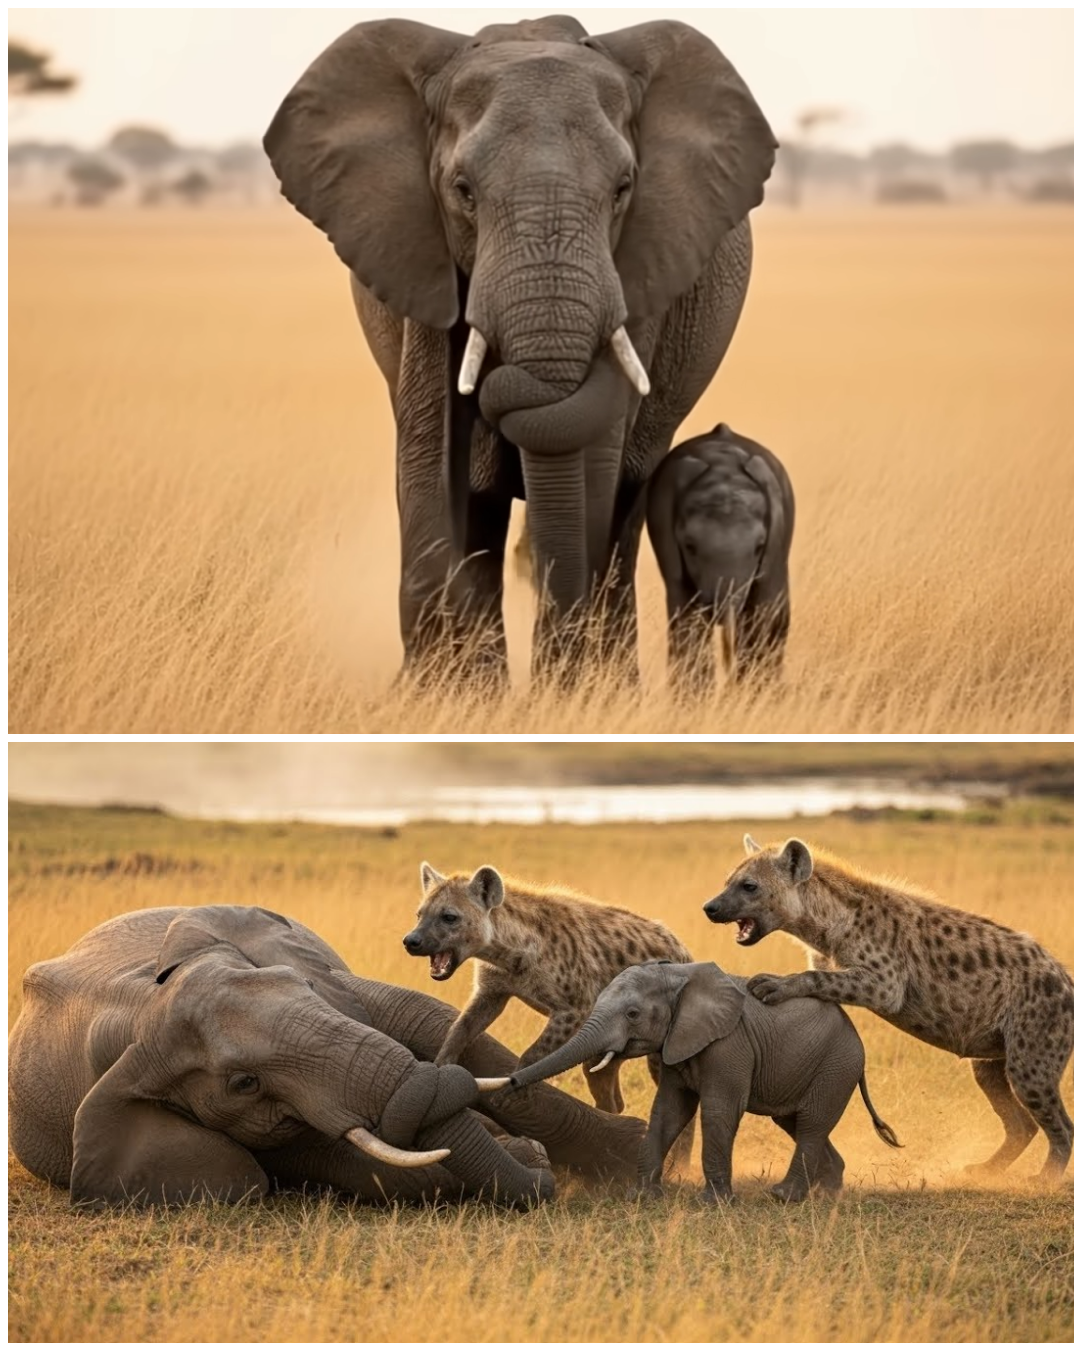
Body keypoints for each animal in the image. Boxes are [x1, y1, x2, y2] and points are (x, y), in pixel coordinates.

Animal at [8, 905, 645, 1208]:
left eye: (306, 986)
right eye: (244, 1083)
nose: (538, 1165)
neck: (142, 1004)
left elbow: (419, 1014)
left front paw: (632, 1153)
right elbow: (339, 1163)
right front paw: (524, 1155)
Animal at [263, 16, 776, 683]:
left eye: (624, 188)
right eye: (462, 191)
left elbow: (594, 467)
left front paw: (570, 692)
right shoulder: (420, 260)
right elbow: (430, 458)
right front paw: (443, 694)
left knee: (628, 500)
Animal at [499, 960, 900, 1203]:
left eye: (633, 1014)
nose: (513, 1083)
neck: (677, 976)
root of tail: (856, 1041)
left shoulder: (729, 1045)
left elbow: (718, 1111)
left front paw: (715, 1203)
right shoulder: (677, 1042)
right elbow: (668, 1111)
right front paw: (641, 1198)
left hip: (836, 1064)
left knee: (812, 1123)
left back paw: (784, 1197)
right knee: (795, 1122)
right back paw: (826, 1194)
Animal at [646, 423, 794, 694]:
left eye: (759, 547)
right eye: (690, 547)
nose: (729, 685)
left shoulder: (776, 546)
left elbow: (762, 614)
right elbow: (687, 617)